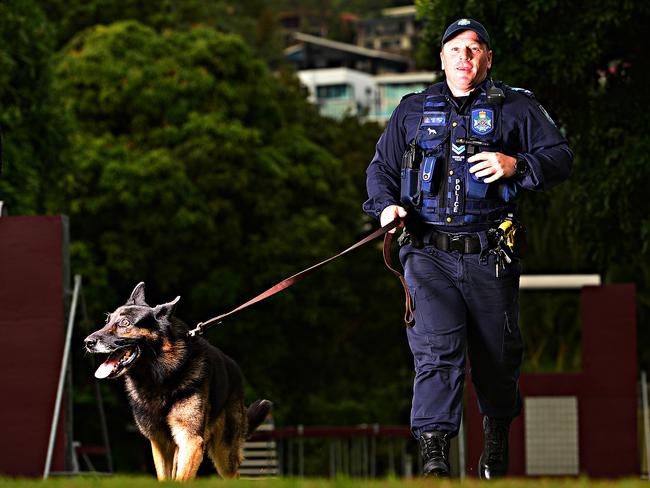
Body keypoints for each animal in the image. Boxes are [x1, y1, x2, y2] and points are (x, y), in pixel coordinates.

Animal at [84, 282, 270, 480]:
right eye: (107, 320)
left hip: (224, 453)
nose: (87, 342)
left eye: (124, 323)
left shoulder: (191, 441)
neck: (159, 377)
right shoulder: (160, 444)